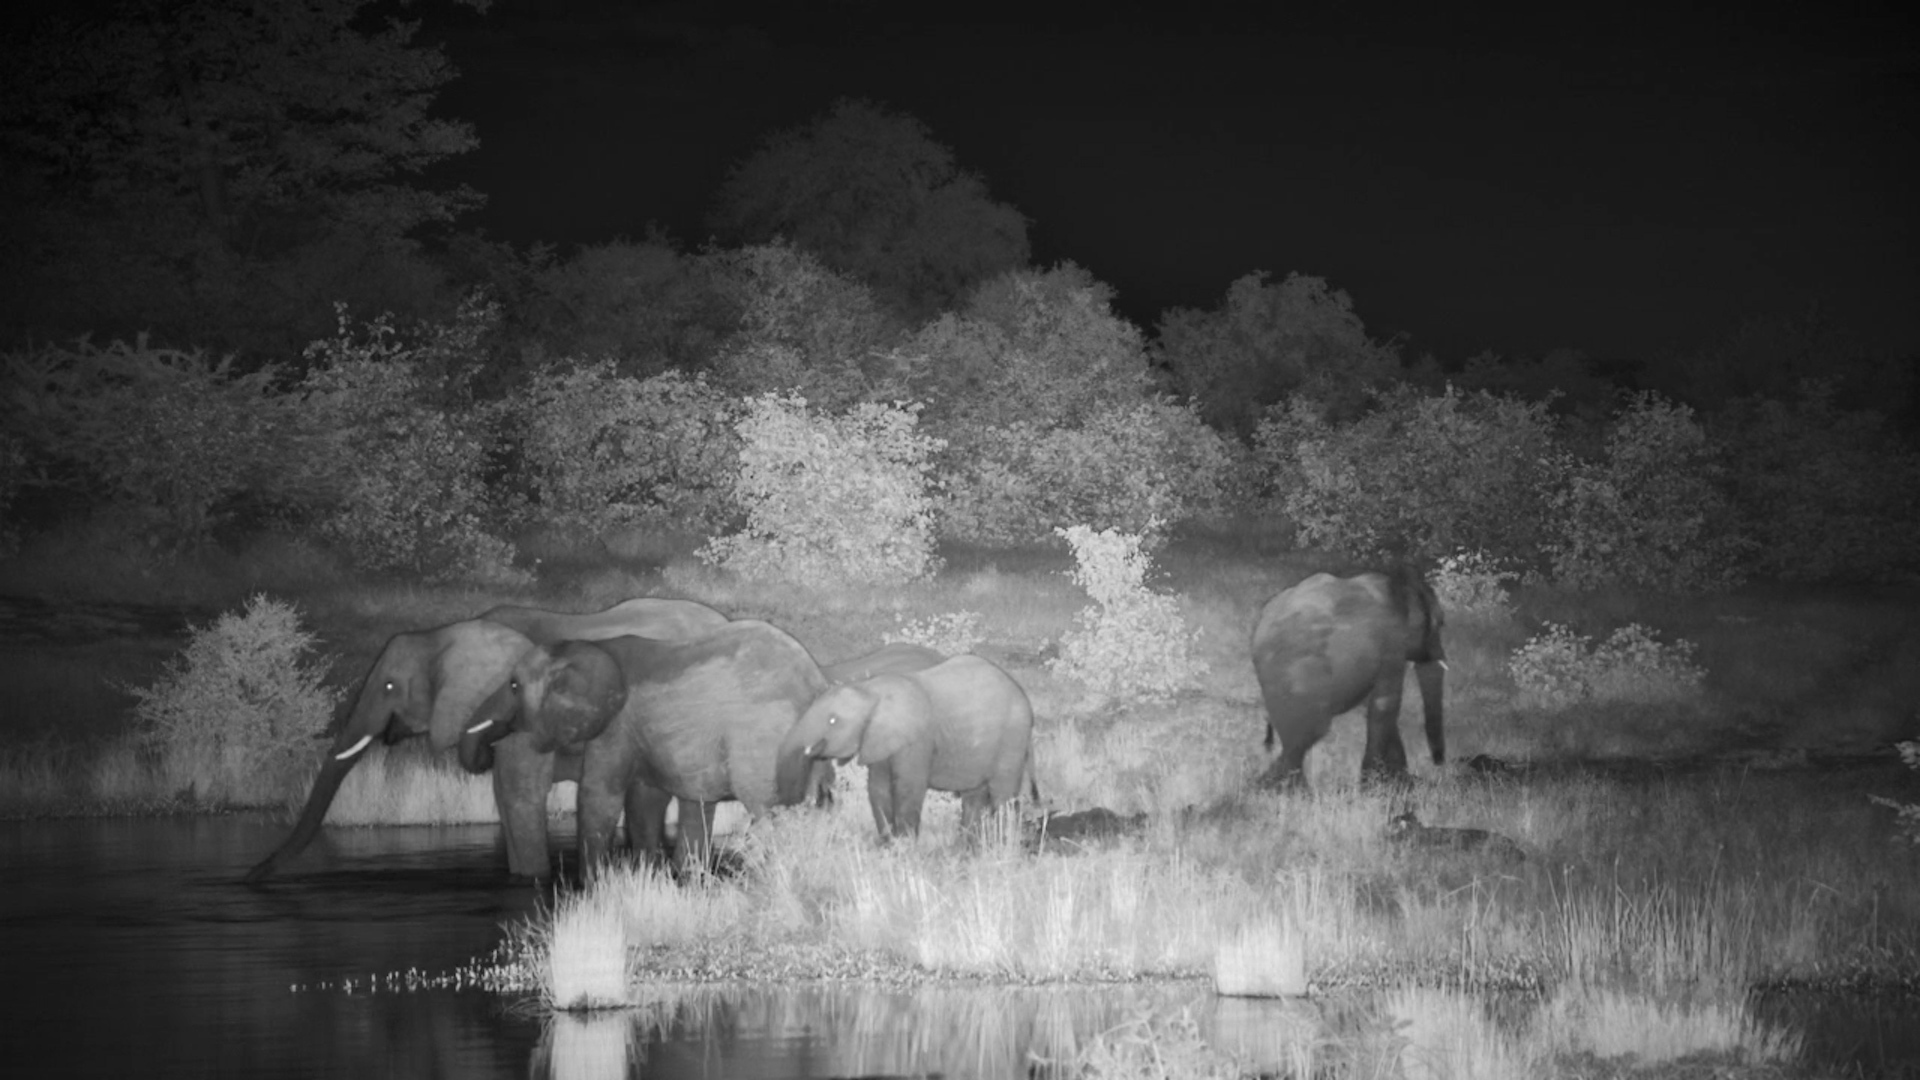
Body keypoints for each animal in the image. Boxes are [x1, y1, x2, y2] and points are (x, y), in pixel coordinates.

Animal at [242, 597, 729, 882]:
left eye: (389, 687)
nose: (251, 875)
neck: (450, 631)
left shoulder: (525, 716)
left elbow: (519, 796)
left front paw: (532, 882)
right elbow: (503, 798)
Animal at [459, 620, 829, 876]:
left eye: (513, 685)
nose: (484, 756)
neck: (589, 647)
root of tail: (814, 682)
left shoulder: (616, 725)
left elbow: (599, 796)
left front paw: (592, 886)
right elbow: (646, 800)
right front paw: (650, 875)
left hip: (761, 742)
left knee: (770, 810)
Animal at [773, 654, 1034, 840]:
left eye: (833, 720)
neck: (871, 690)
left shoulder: (916, 740)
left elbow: (909, 790)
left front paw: (906, 849)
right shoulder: (878, 740)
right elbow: (877, 791)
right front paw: (889, 848)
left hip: (1013, 738)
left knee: (1002, 797)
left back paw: (1001, 848)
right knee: (973, 798)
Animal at [1250, 566, 1446, 786]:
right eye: (1441, 624)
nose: (1438, 762)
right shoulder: (1392, 644)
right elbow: (1385, 705)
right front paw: (1376, 784)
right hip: (1300, 675)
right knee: (1308, 734)